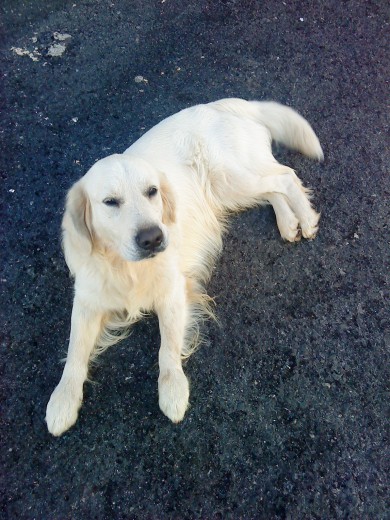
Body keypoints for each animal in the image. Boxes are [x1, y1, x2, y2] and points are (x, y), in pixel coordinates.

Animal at [45, 98, 322, 434]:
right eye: (110, 201)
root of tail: (225, 104)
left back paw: (305, 217)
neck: (125, 266)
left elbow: (167, 347)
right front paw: (62, 400)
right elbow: (74, 350)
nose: (152, 238)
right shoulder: (87, 299)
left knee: (285, 177)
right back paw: (289, 222)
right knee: (274, 188)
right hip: (227, 188)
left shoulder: (173, 291)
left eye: (152, 191)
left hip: (229, 176)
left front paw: (173, 390)